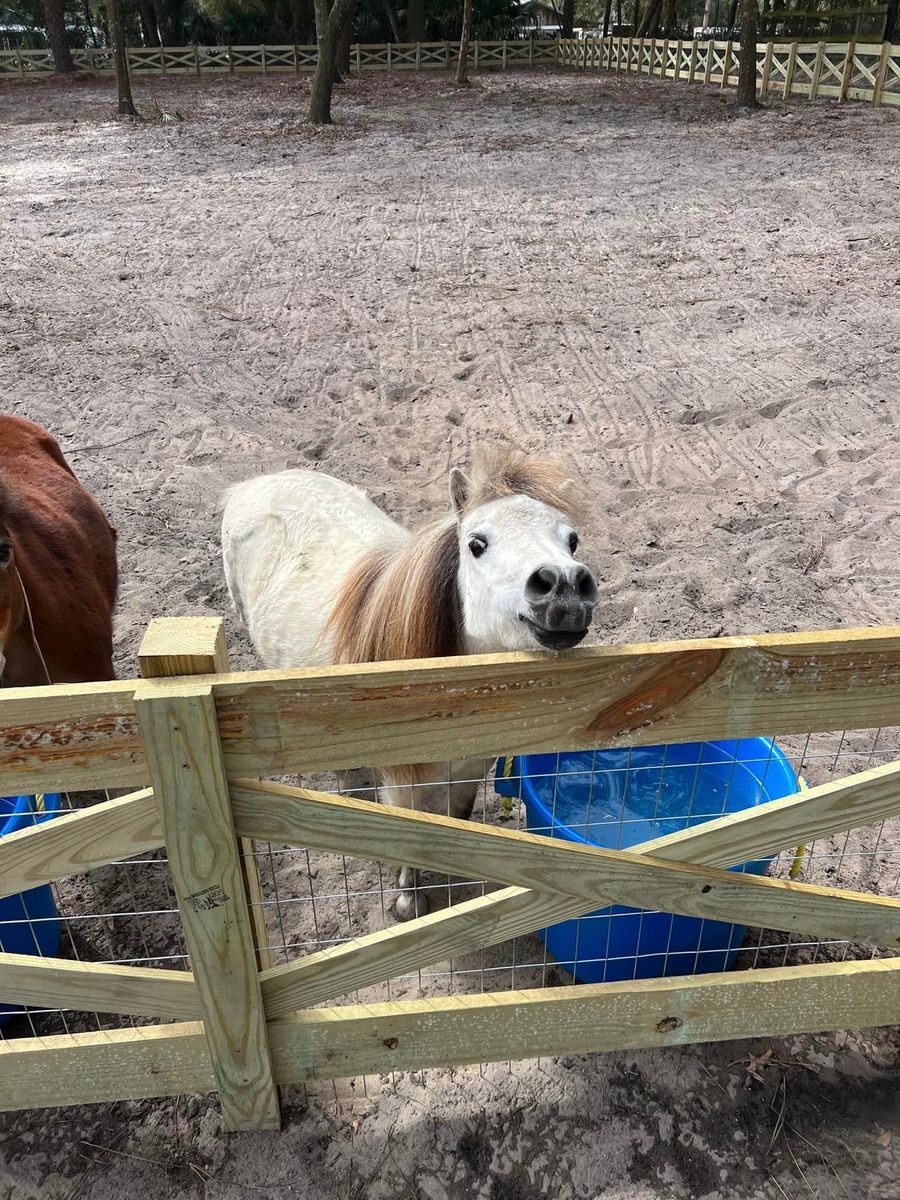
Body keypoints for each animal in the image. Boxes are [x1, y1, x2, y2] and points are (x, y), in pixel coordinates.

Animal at [222, 446, 600, 921]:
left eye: (572, 540)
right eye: (476, 544)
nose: (564, 587)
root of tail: (258, 483)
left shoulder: (471, 770)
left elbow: (458, 816)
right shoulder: (403, 782)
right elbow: (410, 835)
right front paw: (407, 901)